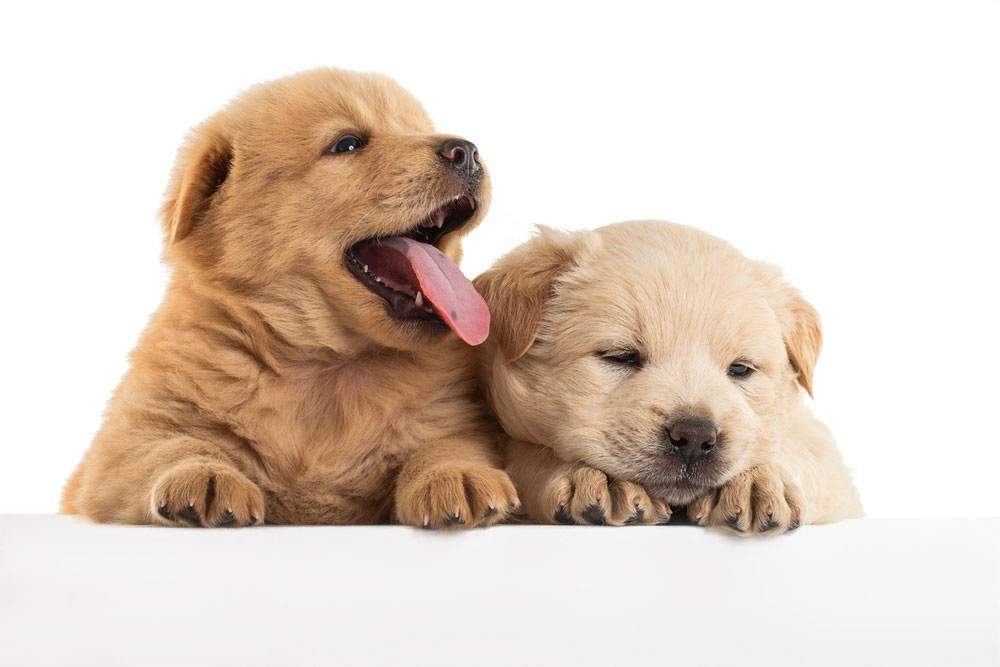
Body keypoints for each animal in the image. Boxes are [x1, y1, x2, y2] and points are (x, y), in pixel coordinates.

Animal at [58, 68, 520, 528]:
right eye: (348, 143)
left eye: (416, 128)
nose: (467, 151)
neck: (327, 365)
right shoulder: (123, 442)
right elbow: (165, 447)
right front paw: (204, 475)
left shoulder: (453, 417)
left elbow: (448, 444)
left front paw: (457, 475)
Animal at [474, 222, 860, 536]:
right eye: (620, 356)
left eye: (740, 369)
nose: (694, 437)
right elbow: (524, 454)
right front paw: (602, 479)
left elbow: (801, 449)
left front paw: (757, 481)